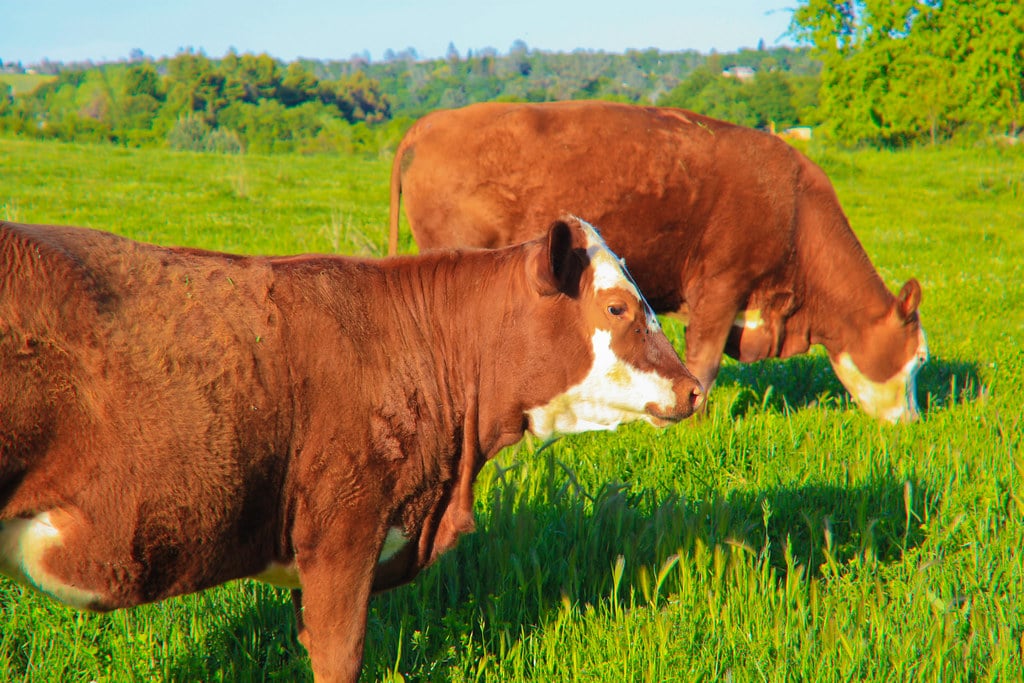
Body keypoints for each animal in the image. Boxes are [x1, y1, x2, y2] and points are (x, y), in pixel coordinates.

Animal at [388, 100, 929, 423]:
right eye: (920, 358)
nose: (914, 424)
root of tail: (429, 123)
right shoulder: (720, 286)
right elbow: (704, 364)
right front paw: (698, 420)